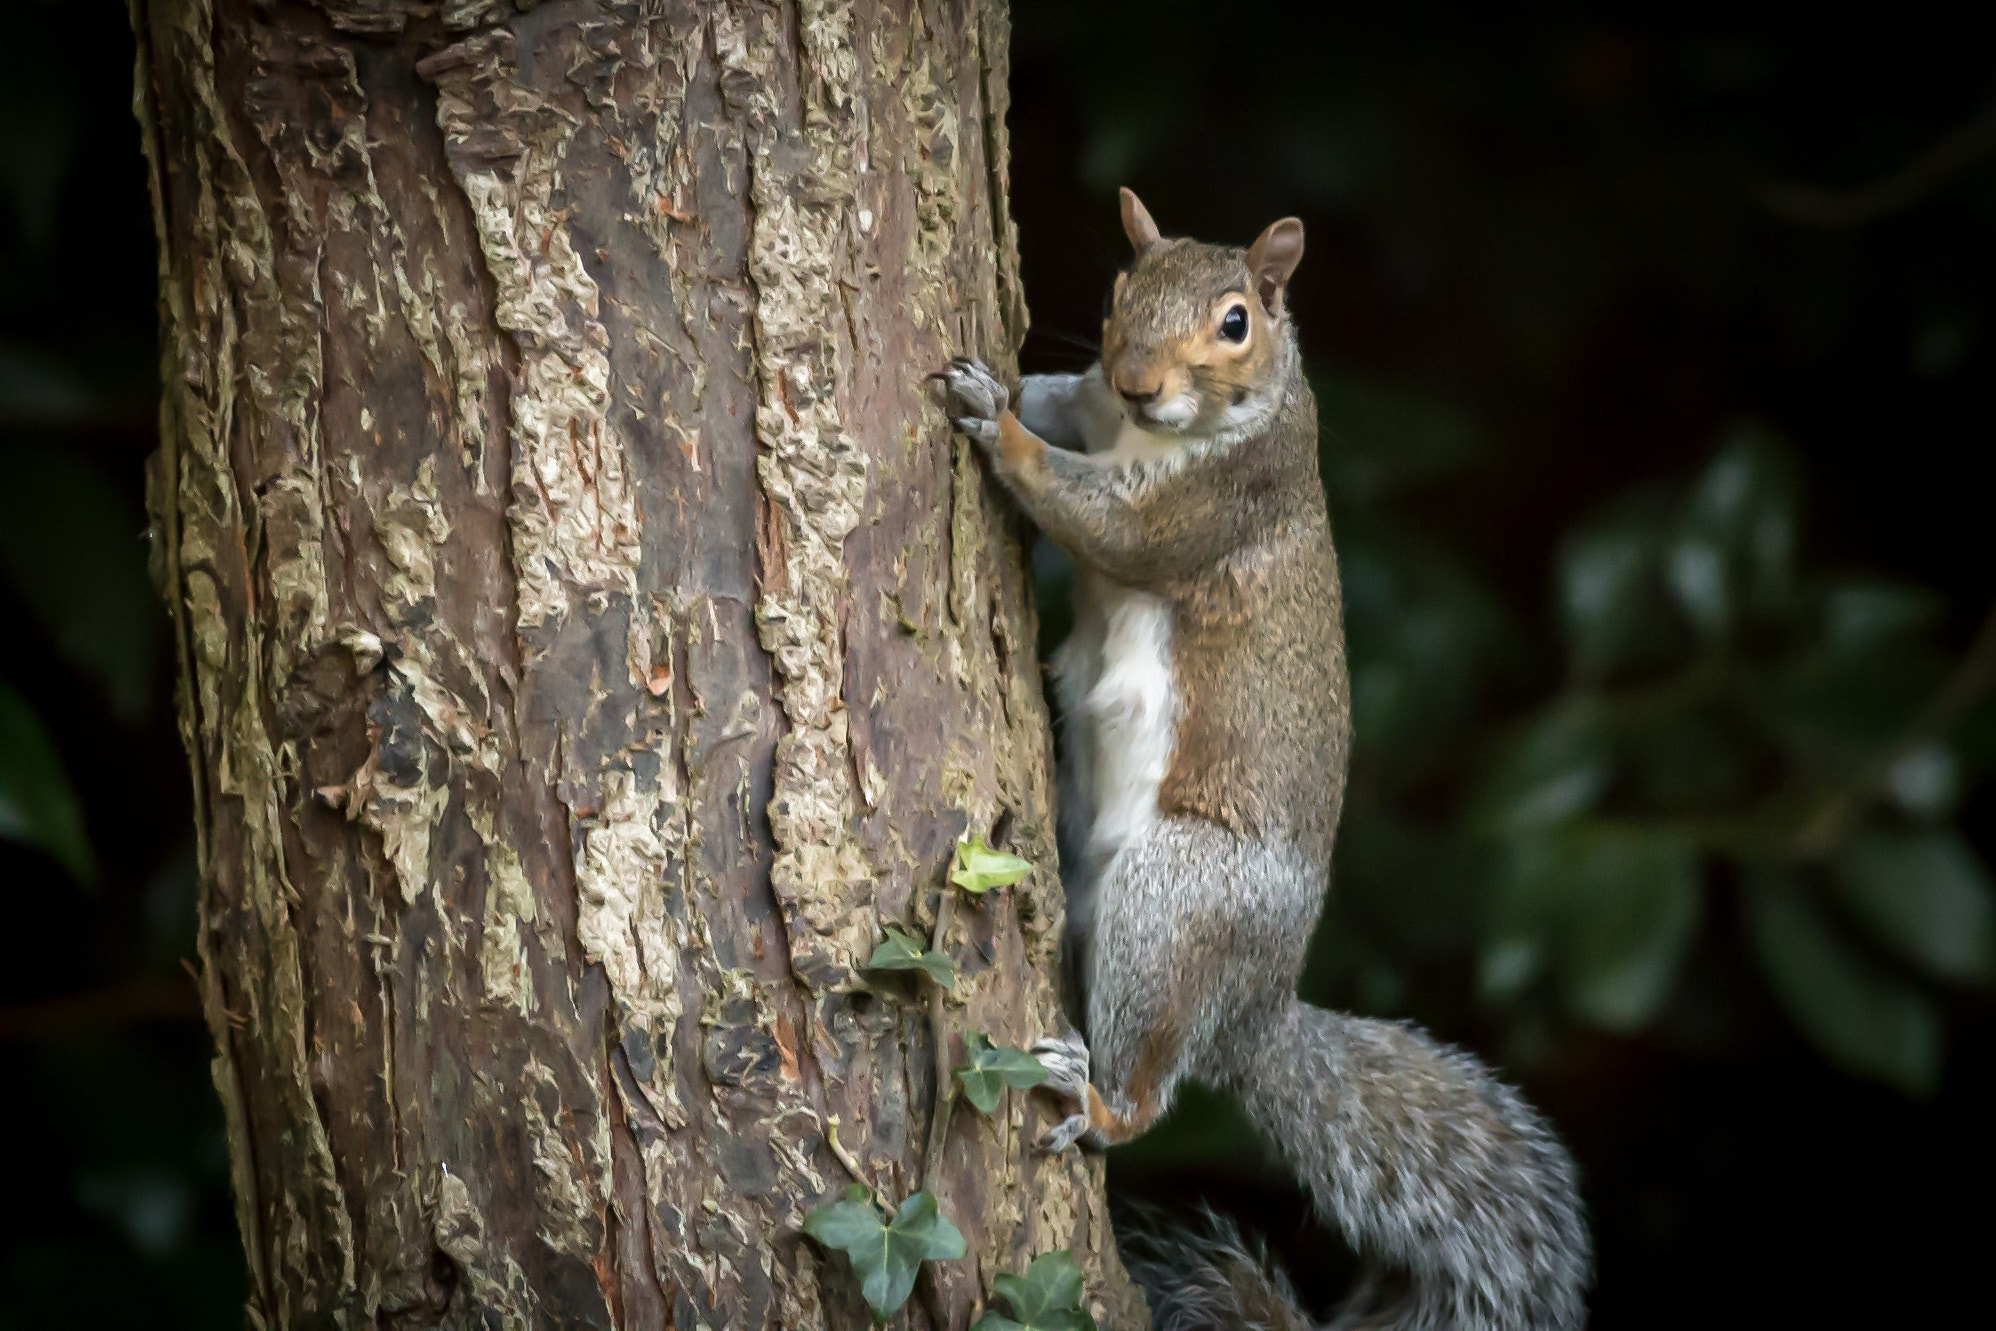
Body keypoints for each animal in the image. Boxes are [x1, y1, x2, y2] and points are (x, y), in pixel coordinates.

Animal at [942, 189, 1596, 1331]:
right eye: (1119, 289)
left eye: (1236, 321)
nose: (1137, 380)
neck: (1151, 427)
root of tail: (1251, 1012)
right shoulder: (1091, 404)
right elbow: (1059, 402)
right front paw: (1013, 380)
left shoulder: (1213, 501)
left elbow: (1100, 516)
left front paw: (999, 425)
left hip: (1177, 902)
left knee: (1149, 1088)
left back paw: (1096, 1098)